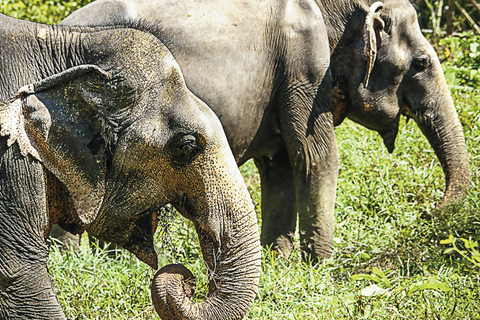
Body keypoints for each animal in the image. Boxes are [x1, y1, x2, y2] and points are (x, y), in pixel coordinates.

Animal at [60, 0, 468, 262]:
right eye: (421, 63)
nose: (428, 211)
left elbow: (282, 167)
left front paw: (279, 260)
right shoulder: (306, 67)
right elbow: (317, 158)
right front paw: (322, 266)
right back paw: (73, 263)